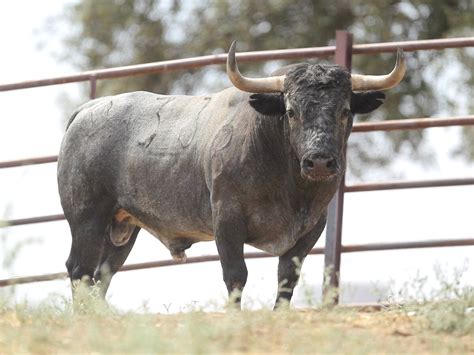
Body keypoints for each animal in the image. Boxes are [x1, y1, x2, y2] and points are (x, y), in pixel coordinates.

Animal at [57, 42, 406, 308]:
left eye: (345, 110)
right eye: (291, 111)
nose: (319, 162)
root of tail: (88, 109)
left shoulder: (312, 228)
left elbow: (286, 280)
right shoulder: (227, 221)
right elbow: (236, 276)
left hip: (123, 227)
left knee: (102, 275)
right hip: (87, 218)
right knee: (80, 269)